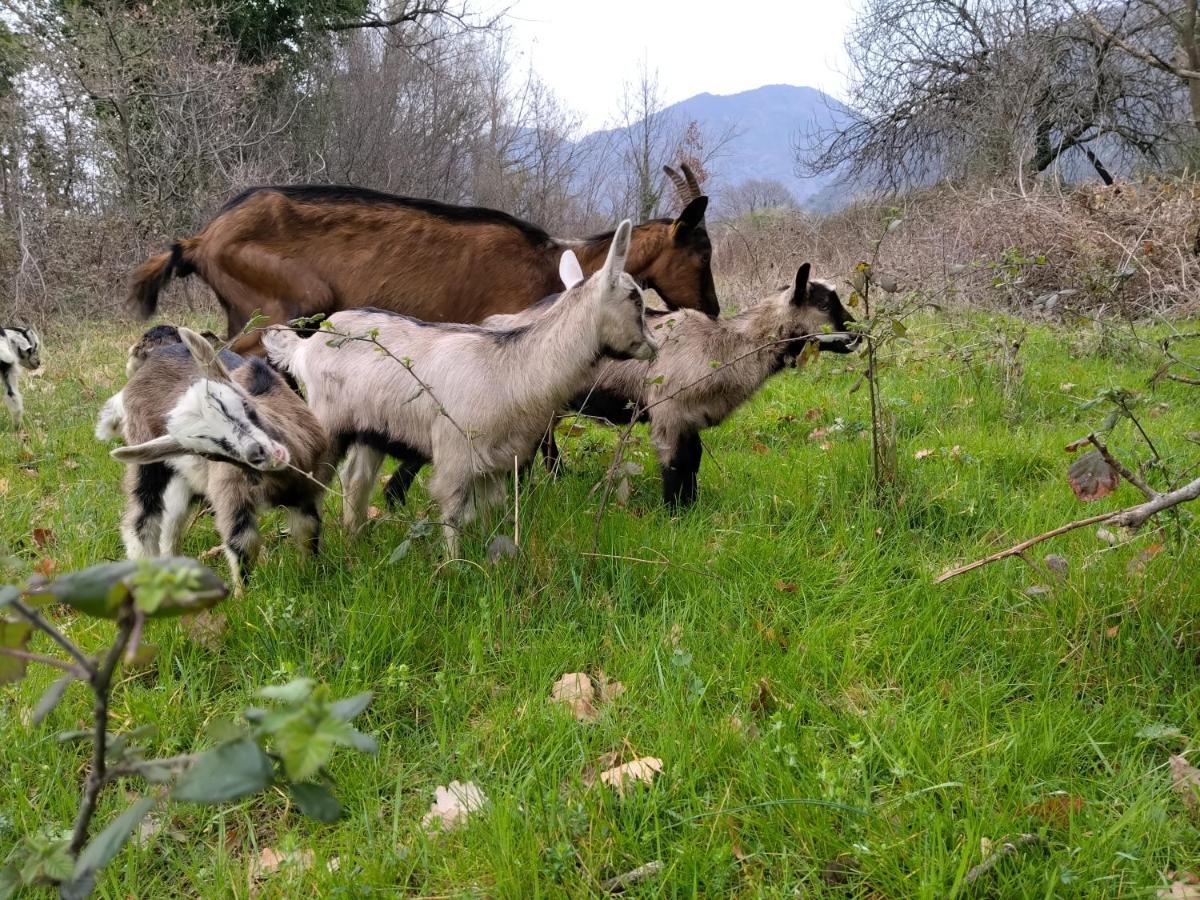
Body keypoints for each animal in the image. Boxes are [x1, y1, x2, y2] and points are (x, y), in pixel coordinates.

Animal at [99, 328, 331, 588]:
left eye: (244, 403)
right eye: (207, 452)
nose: (258, 454)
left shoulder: (306, 489)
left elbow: (307, 530)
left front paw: (310, 574)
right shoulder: (229, 494)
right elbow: (243, 543)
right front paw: (242, 594)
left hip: (184, 480)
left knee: (171, 521)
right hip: (145, 461)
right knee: (141, 520)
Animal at [265, 219, 657, 556]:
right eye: (635, 298)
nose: (654, 346)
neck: (513, 367)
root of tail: (305, 347)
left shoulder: (498, 463)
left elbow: (488, 512)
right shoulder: (455, 455)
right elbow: (452, 513)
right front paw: (452, 568)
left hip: (372, 430)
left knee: (356, 481)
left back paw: (355, 543)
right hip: (327, 421)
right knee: (309, 487)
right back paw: (311, 559)